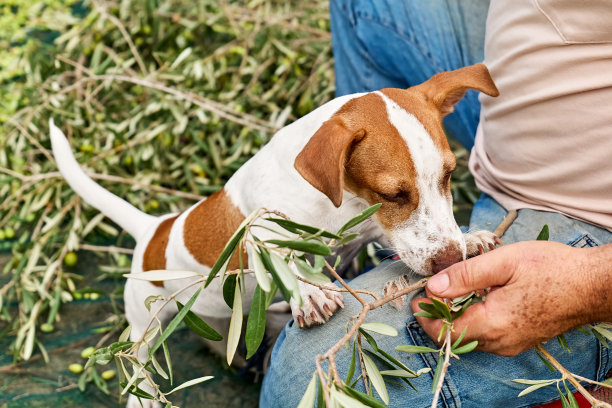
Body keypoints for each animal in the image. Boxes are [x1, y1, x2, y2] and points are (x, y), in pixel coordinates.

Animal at [50, 62, 500, 404]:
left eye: (449, 175)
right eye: (392, 193)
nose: (449, 262)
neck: (343, 202)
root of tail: (152, 231)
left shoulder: (373, 227)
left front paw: (470, 238)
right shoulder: (262, 229)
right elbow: (283, 256)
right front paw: (309, 292)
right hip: (145, 327)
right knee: (140, 368)